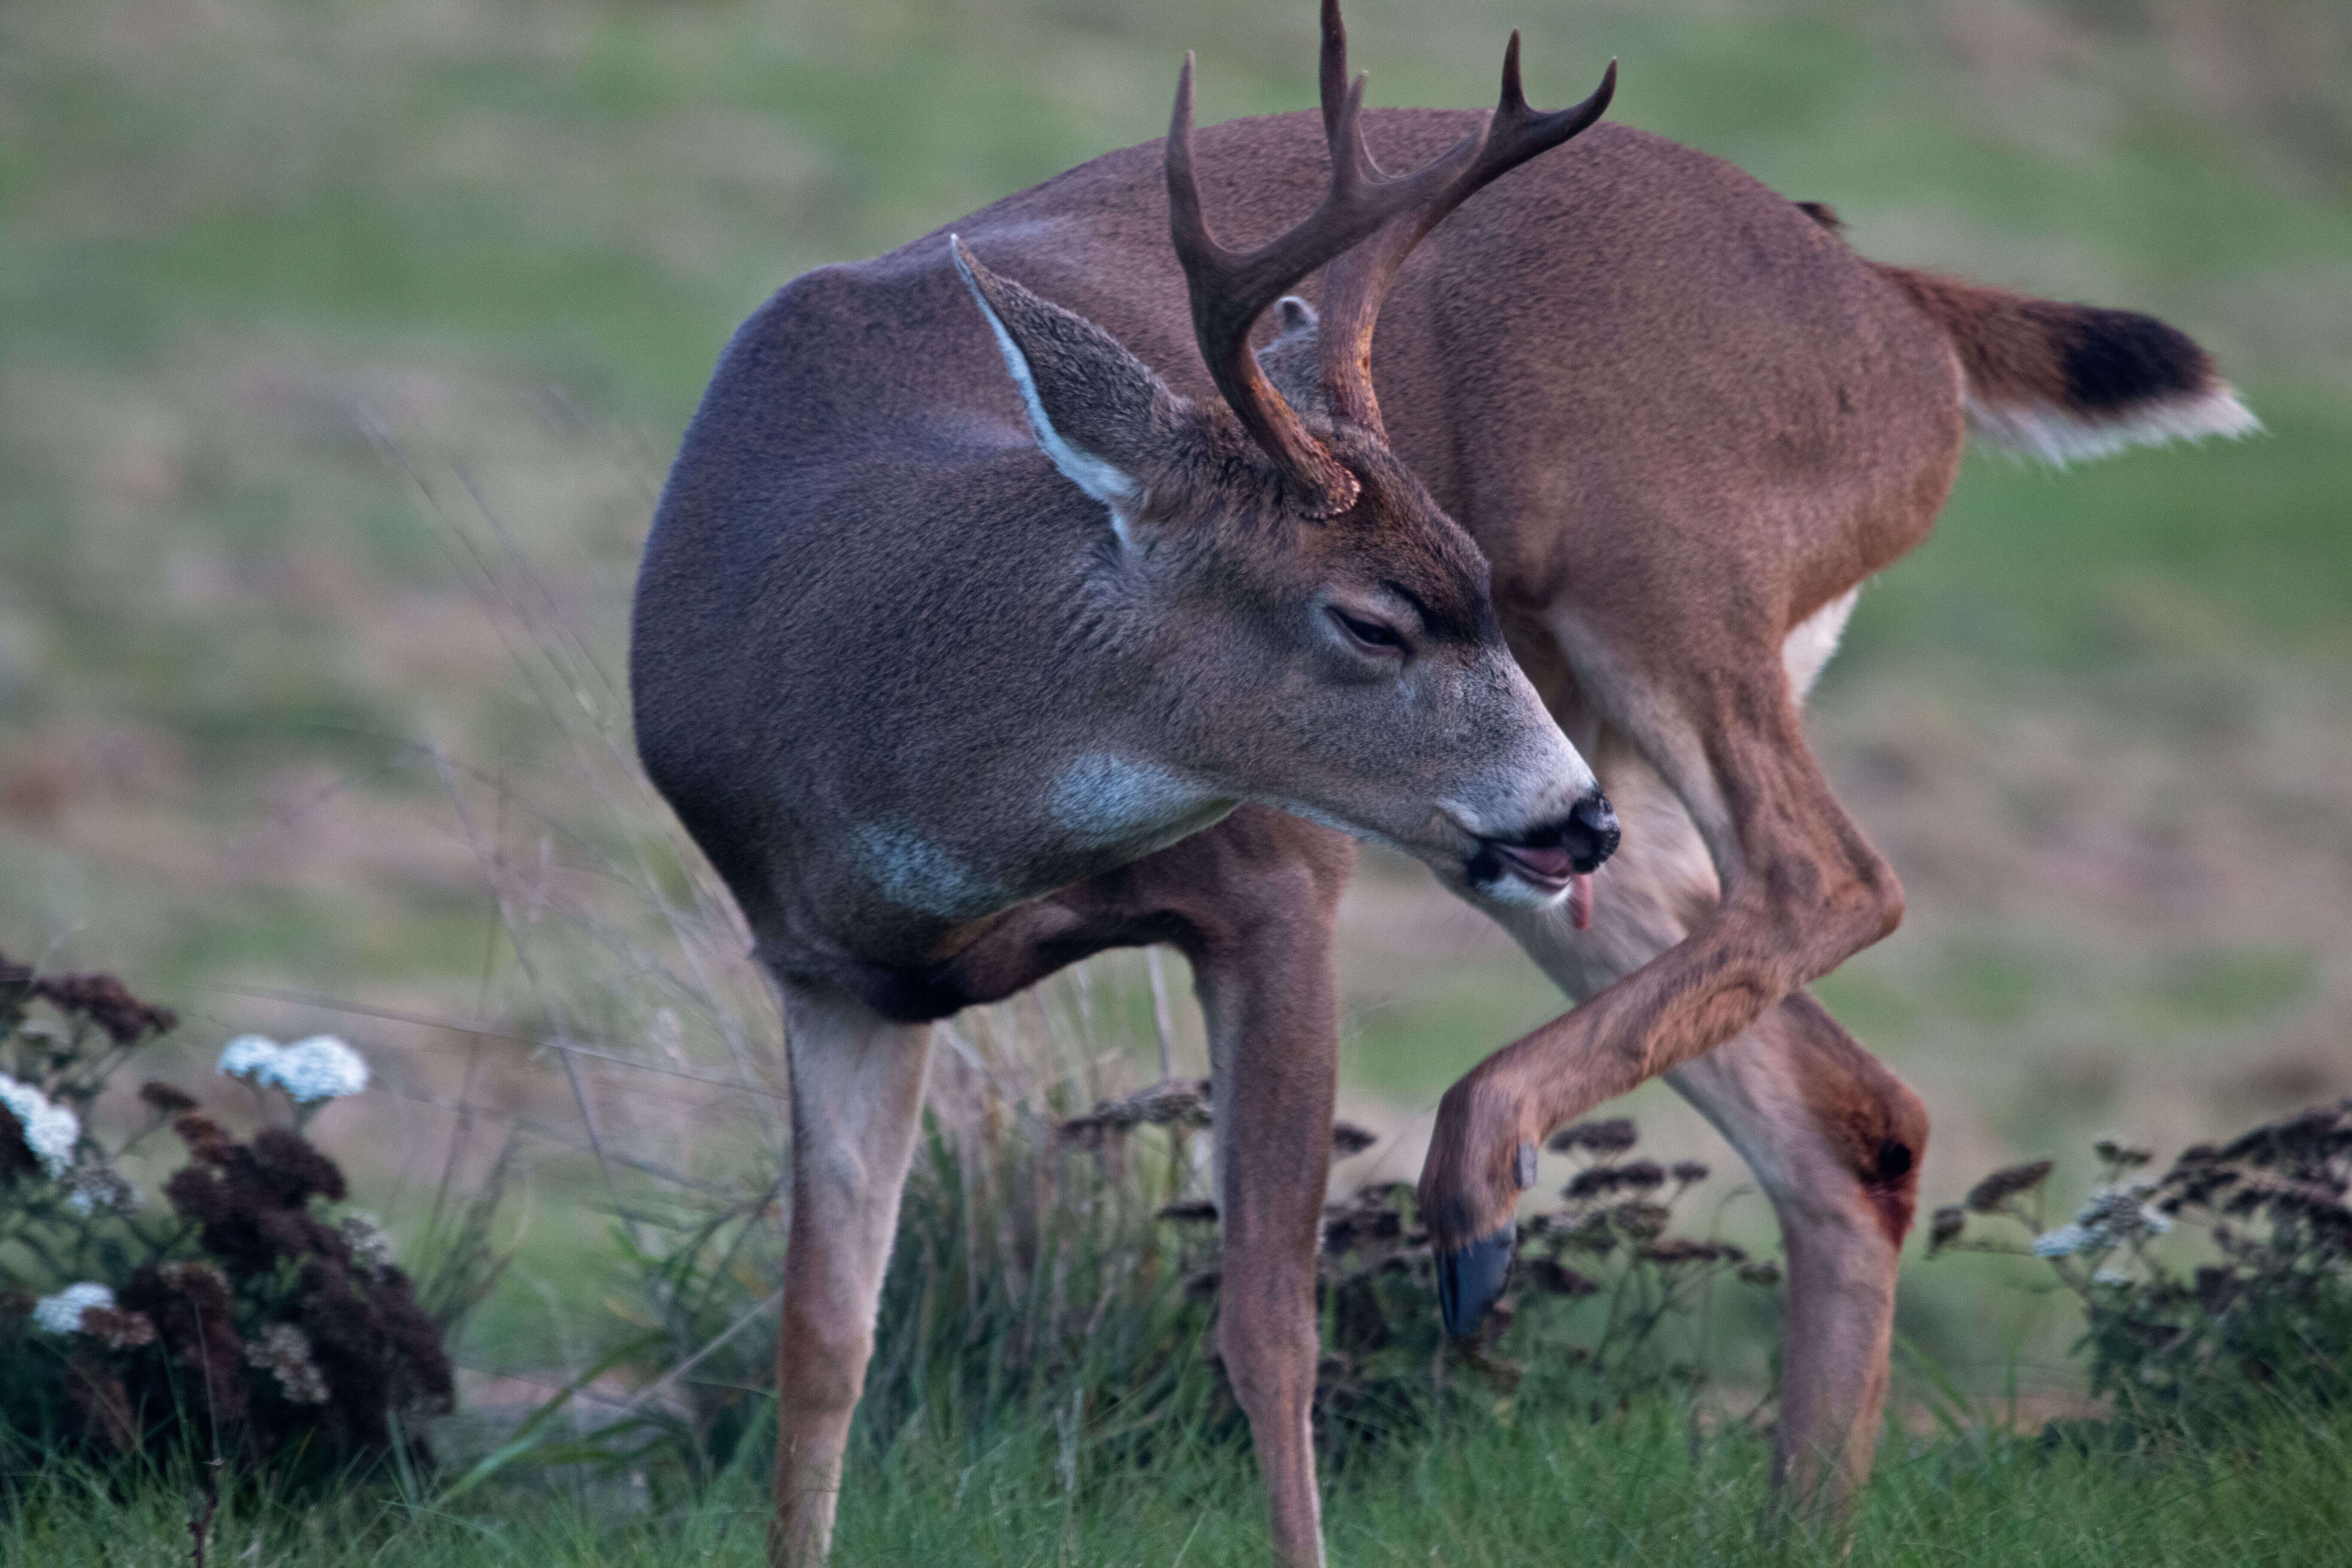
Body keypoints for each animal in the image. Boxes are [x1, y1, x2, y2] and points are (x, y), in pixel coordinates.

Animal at [630, 6, 2258, 1561]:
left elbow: (1266, 1322)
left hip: (1668, 567)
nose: (1575, 816)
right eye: (1372, 618)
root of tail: (1903, 316)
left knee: (1829, 872)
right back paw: (1794, 1513)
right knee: (1853, 1118)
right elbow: (823, 1343)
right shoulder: (829, 972)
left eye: (1463, 577)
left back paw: (1477, 1185)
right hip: (1554, 785)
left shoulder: (1276, 874)